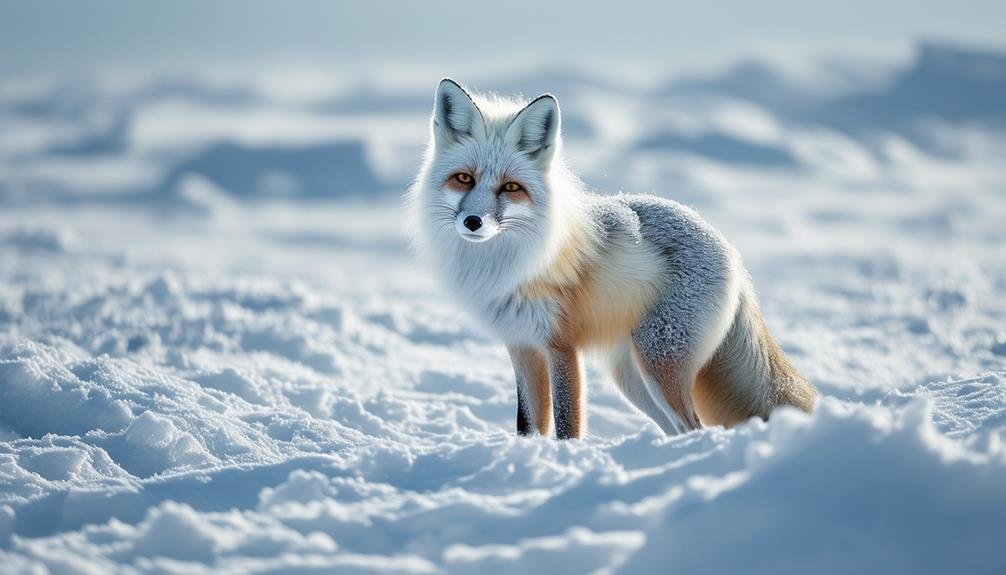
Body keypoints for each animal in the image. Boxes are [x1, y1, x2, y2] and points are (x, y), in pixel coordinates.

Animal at [408, 78, 816, 438]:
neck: (507, 265)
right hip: (632, 379)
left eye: (510, 187)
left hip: (658, 362)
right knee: (678, 429)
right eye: (464, 179)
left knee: (693, 426)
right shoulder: (521, 346)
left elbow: (567, 425)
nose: (473, 222)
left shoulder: (560, 346)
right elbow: (528, 425)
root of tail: (730, 249)